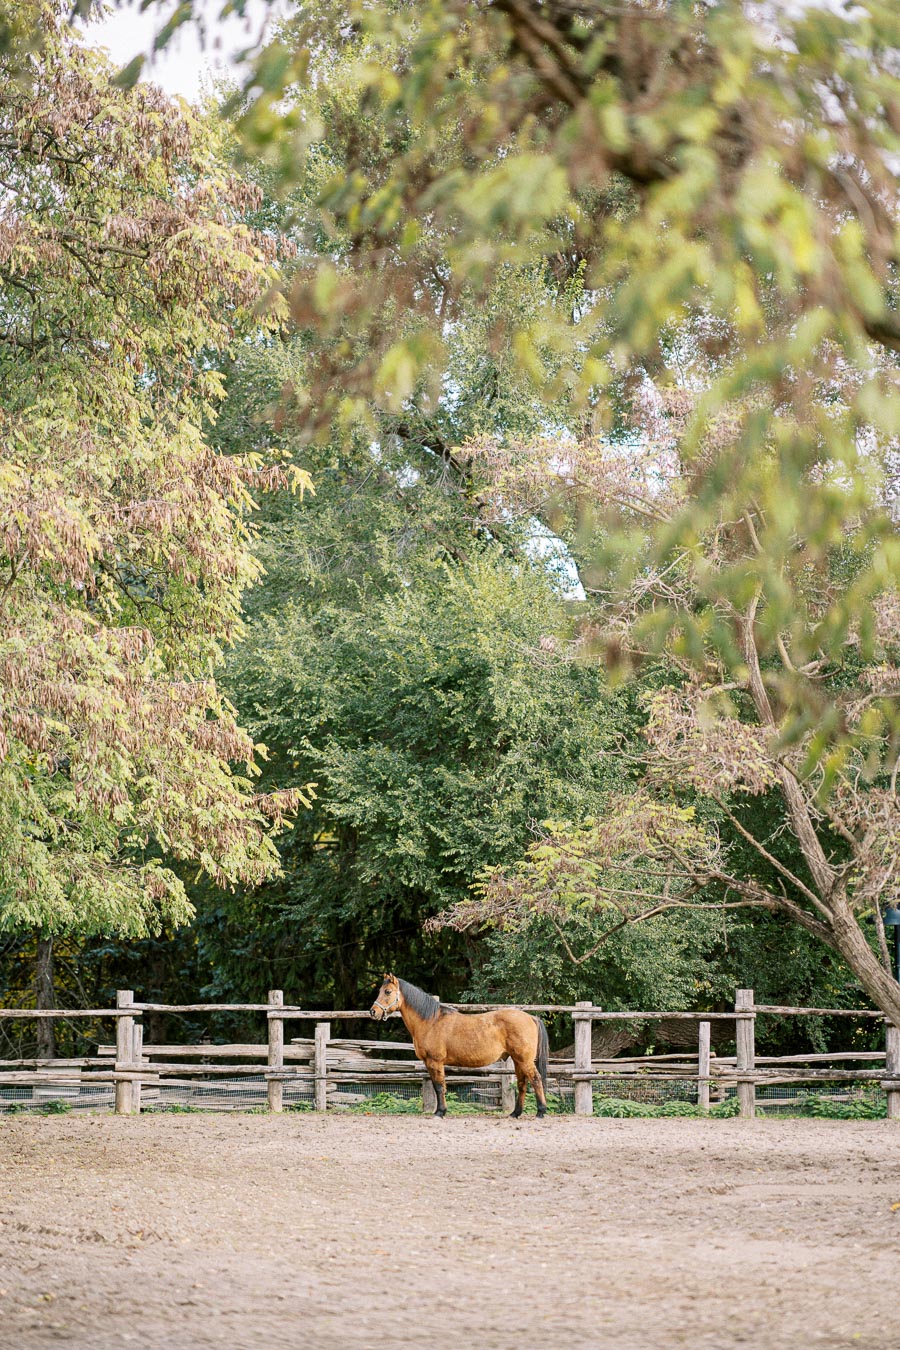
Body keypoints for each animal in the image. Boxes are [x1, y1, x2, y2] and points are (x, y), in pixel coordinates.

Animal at [369, 973, 550, 1118]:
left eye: (387, 991)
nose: (373, 1012)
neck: (430, 1021)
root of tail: (531, 1017)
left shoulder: (435, 1061)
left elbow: (439, 1087)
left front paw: (440, 1112)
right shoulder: (429, 1063)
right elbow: (438, 1086)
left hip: (524, 1060)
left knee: (536, 1080)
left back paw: (541, 1112)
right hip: (518, 1060)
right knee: (522, 1083)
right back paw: (515, 1113)